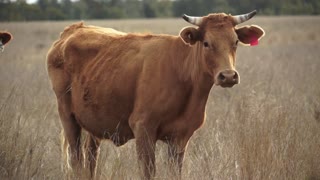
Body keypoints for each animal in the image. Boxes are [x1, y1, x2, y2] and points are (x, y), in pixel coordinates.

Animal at [45, 10, 264, 179]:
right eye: (207, 43)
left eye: (235, 42)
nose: (228, 76)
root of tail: (73, 29)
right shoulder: (143, 129)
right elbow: (148, 172)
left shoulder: (180, 138)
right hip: (68, 117)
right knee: (76, 160)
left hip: (93, 124)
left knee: (90, 160)